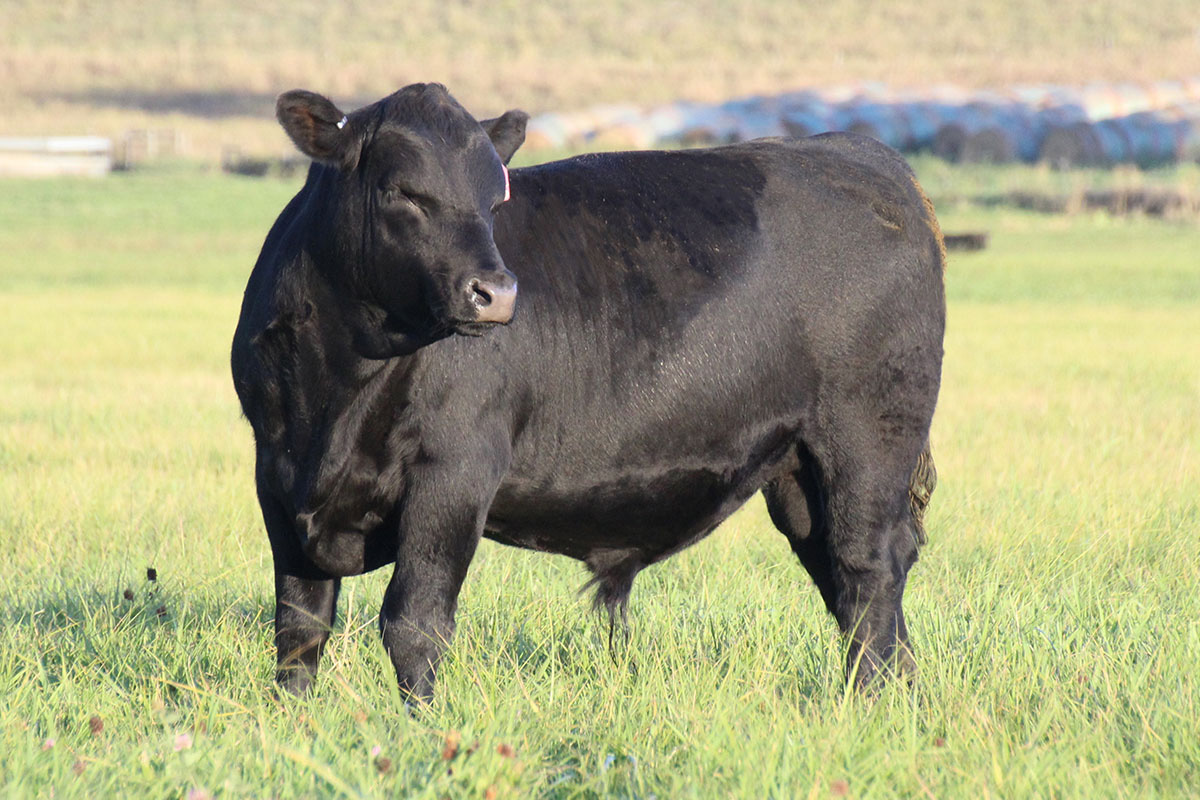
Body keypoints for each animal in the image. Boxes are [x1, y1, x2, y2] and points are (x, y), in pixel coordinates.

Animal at [231, 83, 945, 703]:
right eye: (403, 191)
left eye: (494, 202)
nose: (495, 293)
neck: (336, 391)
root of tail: (866, 157)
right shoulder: (277, 475)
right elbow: (299, 626)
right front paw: (294, 723)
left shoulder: (455, 472)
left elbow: (414, 623)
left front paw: (423, 730)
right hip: (797, 469)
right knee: (840, 574)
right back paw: (904, 696)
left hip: (868, 442)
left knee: (867, 570)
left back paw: (872, 702)